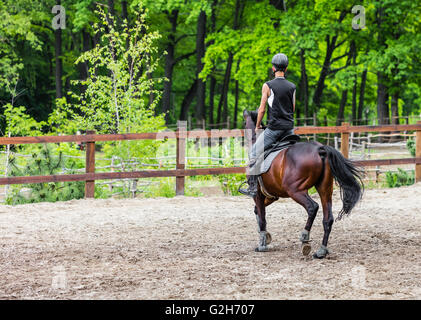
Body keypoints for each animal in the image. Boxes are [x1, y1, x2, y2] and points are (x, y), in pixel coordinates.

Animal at [243, 109, 364, 258]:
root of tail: (319, 149)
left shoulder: (258, 194)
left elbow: (261, 216)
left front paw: (262, 244)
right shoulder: (271, 195)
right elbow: (258, 212)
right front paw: (265, 236)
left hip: (295, 190)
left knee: (312, 207)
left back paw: (305, 238)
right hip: (324, 189)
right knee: (328, 218)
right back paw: (321, 251)